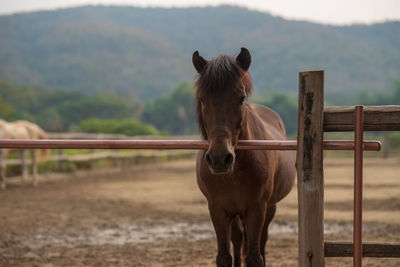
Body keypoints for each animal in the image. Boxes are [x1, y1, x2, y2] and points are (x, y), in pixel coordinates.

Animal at [192, 48, 296, 267]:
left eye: (240, 99)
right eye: (203, 99)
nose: (219, 159)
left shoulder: (257, 209)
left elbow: (255, 257)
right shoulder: (218, 210)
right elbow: (224, 256)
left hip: (269, 208)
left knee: (261, 241)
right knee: (238, 239)